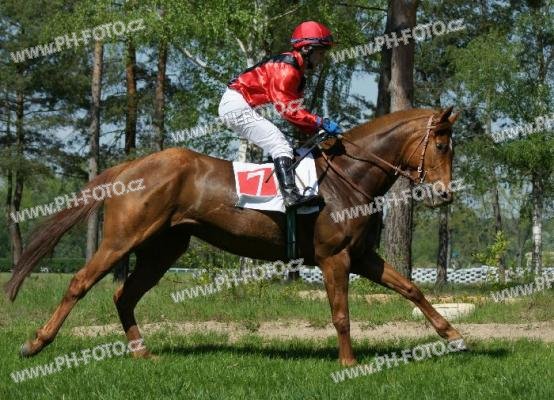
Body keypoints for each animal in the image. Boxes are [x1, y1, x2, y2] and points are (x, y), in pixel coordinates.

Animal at [5, 106, 462, 366]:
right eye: (442, 145)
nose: (444, 194)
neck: (348, 177)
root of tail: (129, 168)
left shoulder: (362, 256)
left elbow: (411, 289)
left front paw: (454, 336)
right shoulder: (335, 258)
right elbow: (341, 314)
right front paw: (348, 364)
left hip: (163, 249)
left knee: (124, 295)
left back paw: (141, 351)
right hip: (122, 239)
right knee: (81, 283)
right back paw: (35, 344)